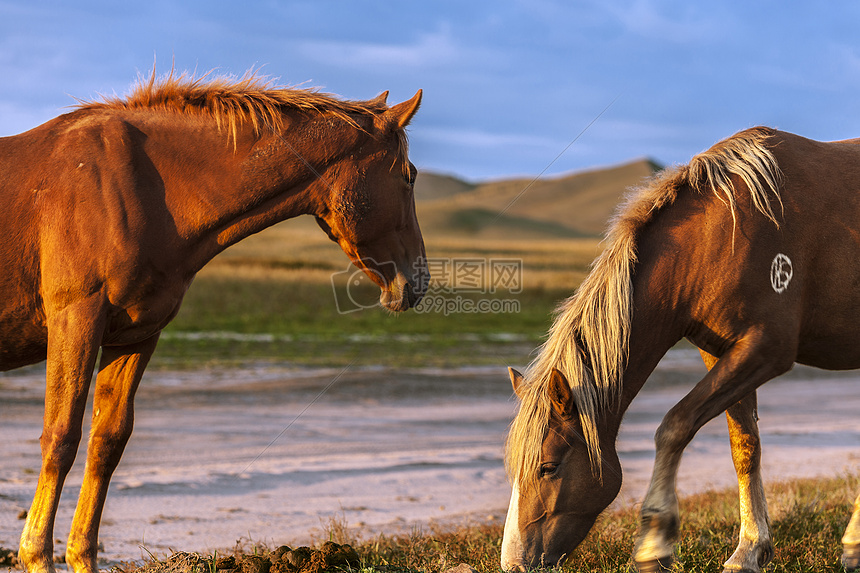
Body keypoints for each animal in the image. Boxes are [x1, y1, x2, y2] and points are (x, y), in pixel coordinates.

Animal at [0, 72, 426, 572]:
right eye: (408, 176)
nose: (417, 281)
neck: (142, 185)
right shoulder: (77, 320)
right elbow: (61, 437)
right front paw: (35, 554)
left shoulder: (136, 334)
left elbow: (107, 442)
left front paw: (81, 556)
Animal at [500, 126, 860, 572]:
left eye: (547, 467)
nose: (513, 562)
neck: (724, 234)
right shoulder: (721, 352)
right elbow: (745, 447)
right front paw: (749, 549)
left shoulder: (766, 349)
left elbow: (675, 425)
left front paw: (654, 543)